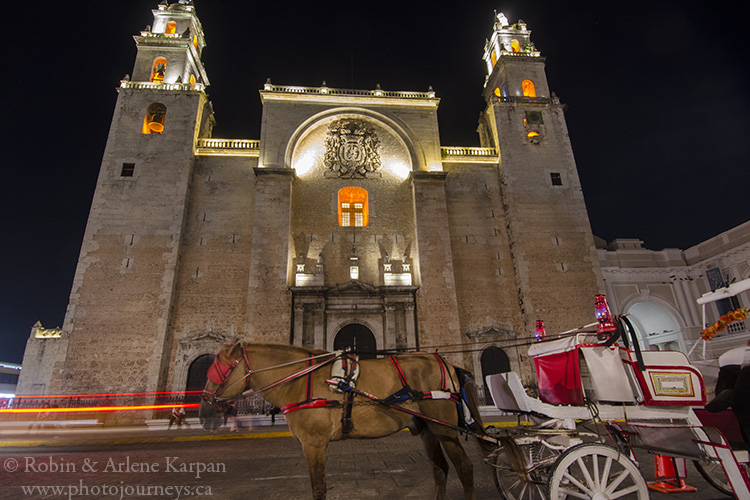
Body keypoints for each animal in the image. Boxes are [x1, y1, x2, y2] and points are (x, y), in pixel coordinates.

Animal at [198, 342, 494, 498]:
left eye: (220, 370)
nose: (204, 414)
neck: (300, 378)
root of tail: (448, 364)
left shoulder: (314, 443)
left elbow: (319, 487)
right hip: (427, 429)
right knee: (440, 469)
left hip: (445, 429)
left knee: (465, 468)